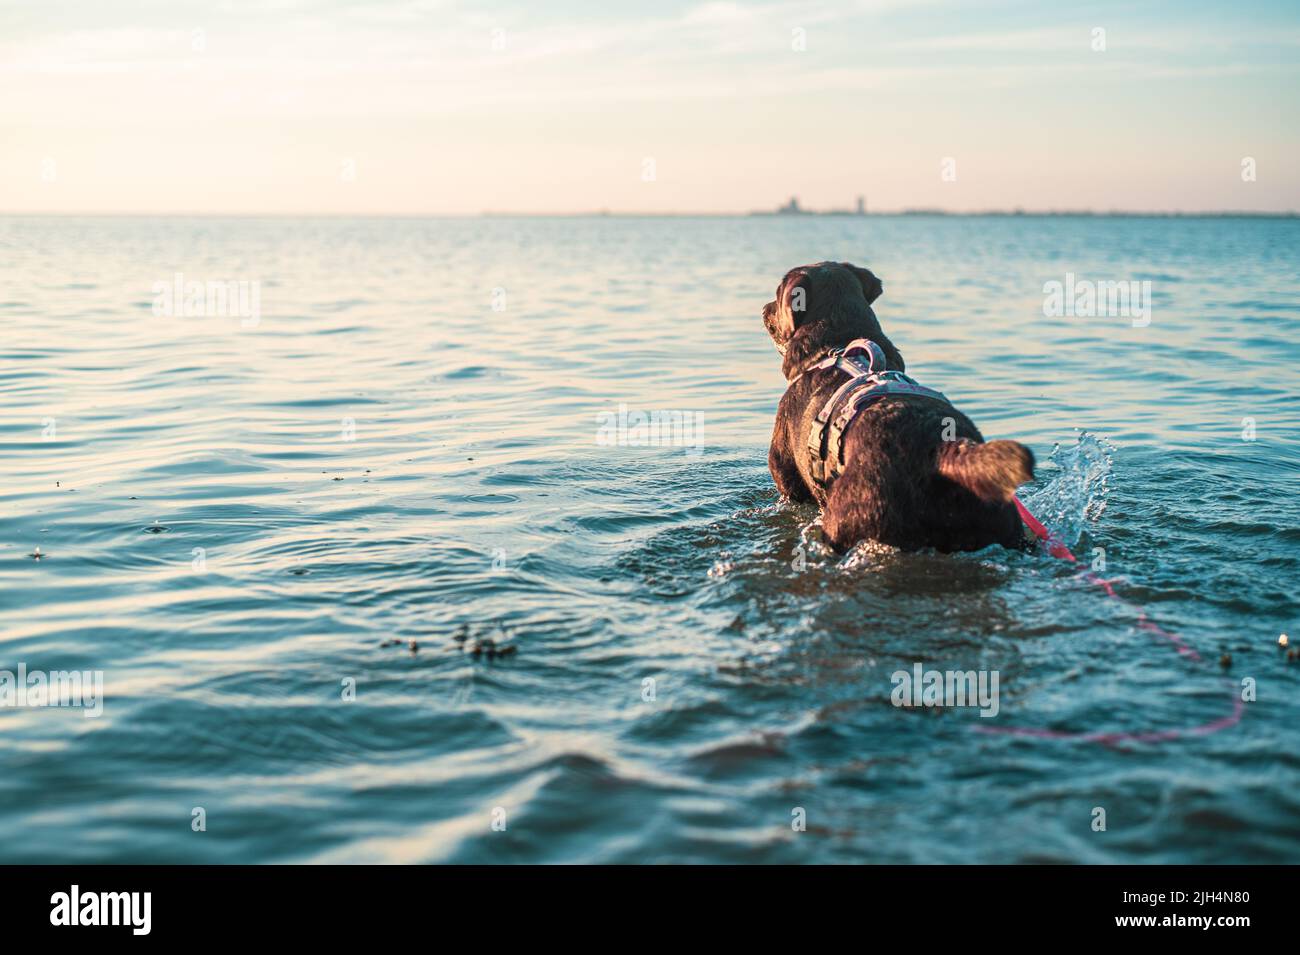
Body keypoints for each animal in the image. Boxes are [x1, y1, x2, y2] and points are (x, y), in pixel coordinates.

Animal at [759, 261, 1034, 553]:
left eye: (777, 294)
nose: (764, 308)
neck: (836, 344)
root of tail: (940, 451)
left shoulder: (786, 471)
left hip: (848, 519)